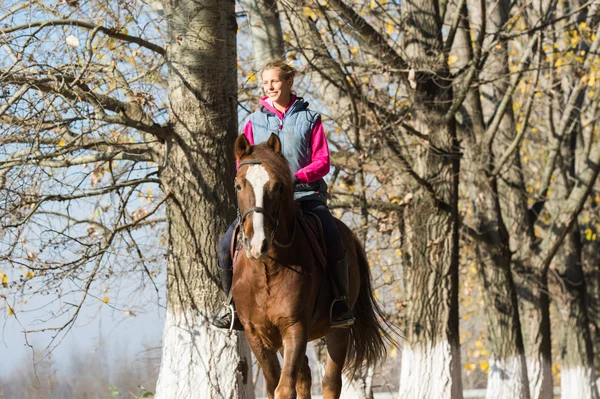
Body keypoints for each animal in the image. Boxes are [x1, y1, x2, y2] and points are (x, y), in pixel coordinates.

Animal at [230, 134, 390, 399]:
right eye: (239, 186)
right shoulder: (256, 333)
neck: (267, 270)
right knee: (305, 375)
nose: (257, 242)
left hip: (339, 331)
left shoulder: (295, 327)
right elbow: (274, 386)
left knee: (330, 382)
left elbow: (284, 389)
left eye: (278, 186)